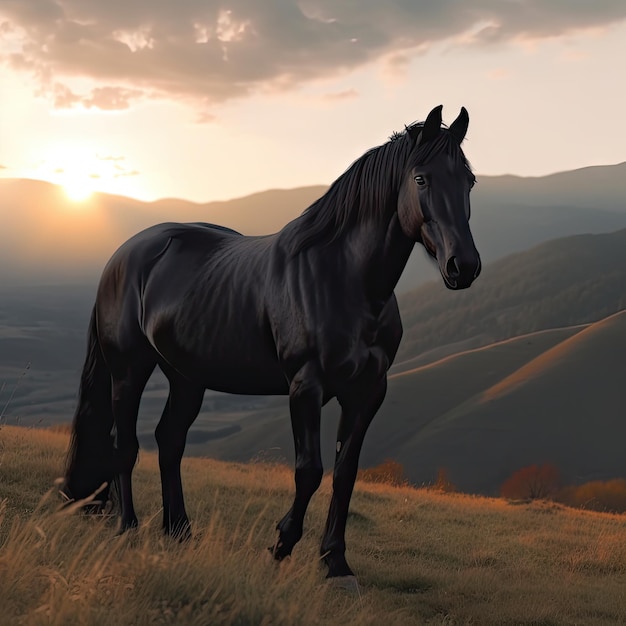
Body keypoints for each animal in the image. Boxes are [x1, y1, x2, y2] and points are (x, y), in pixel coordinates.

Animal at [64, 106, 478, 580]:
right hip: (128, 370)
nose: (463, 266)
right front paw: (281, 545)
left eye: (469, 181)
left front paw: (335, 563)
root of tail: (123, 255)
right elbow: (310, 471)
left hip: (187, 377)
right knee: (125, 445)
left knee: (169, 440)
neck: (345, 281)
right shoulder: (306, 386)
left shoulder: (368, 391)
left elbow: (346, 473)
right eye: (421, 179)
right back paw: (128, 528)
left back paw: (180, 531)